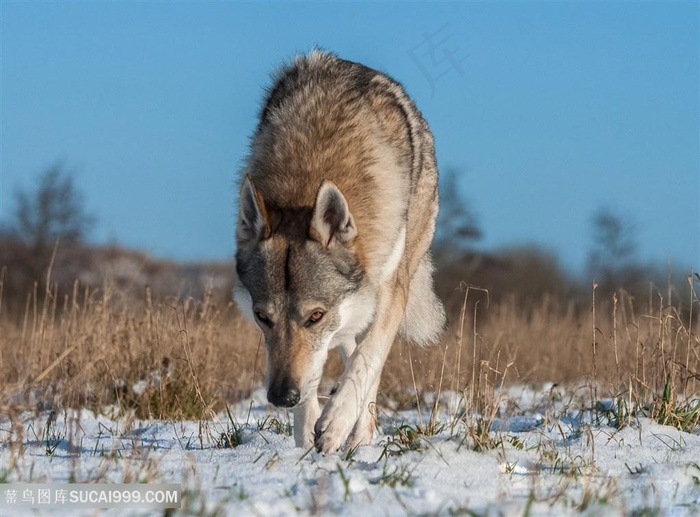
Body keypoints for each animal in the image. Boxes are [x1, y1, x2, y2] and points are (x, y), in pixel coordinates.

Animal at [232, 49, 446, 452]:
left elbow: (368, 360)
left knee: (366, 364)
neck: (307, 176)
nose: (281, 397)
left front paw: (335, 424)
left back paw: (360, 437)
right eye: (262, 317)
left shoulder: (389, 293)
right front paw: (306, 432)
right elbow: (316, 372)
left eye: (314, 316)